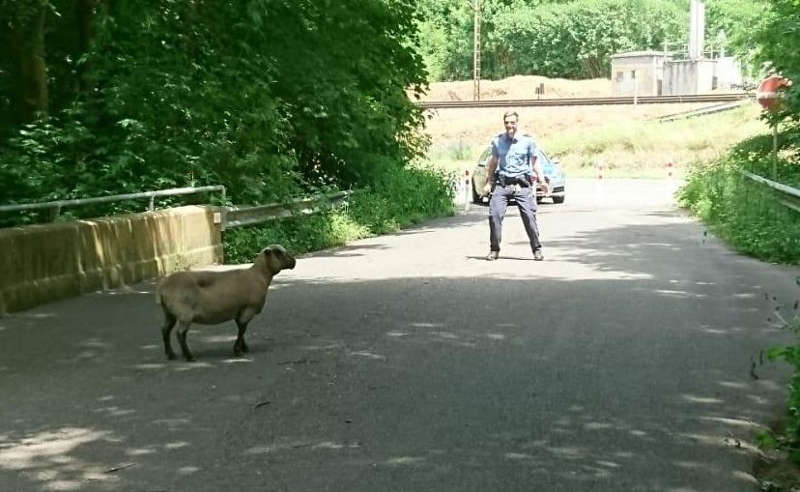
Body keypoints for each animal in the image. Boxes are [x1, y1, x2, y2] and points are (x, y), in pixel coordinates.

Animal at [155, 243, 296, 362]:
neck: (259, 276)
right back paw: (189, 356)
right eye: (278, 253)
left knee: (165, 330)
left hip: (169, 313)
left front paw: (243, 347)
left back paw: (171, 354)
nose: (294, 261)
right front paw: (237, 351)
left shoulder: (239, 310)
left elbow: (241, 328)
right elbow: (242, 329)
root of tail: (163, 288)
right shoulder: (248, 309)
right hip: (184, 313)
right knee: (180, 334)